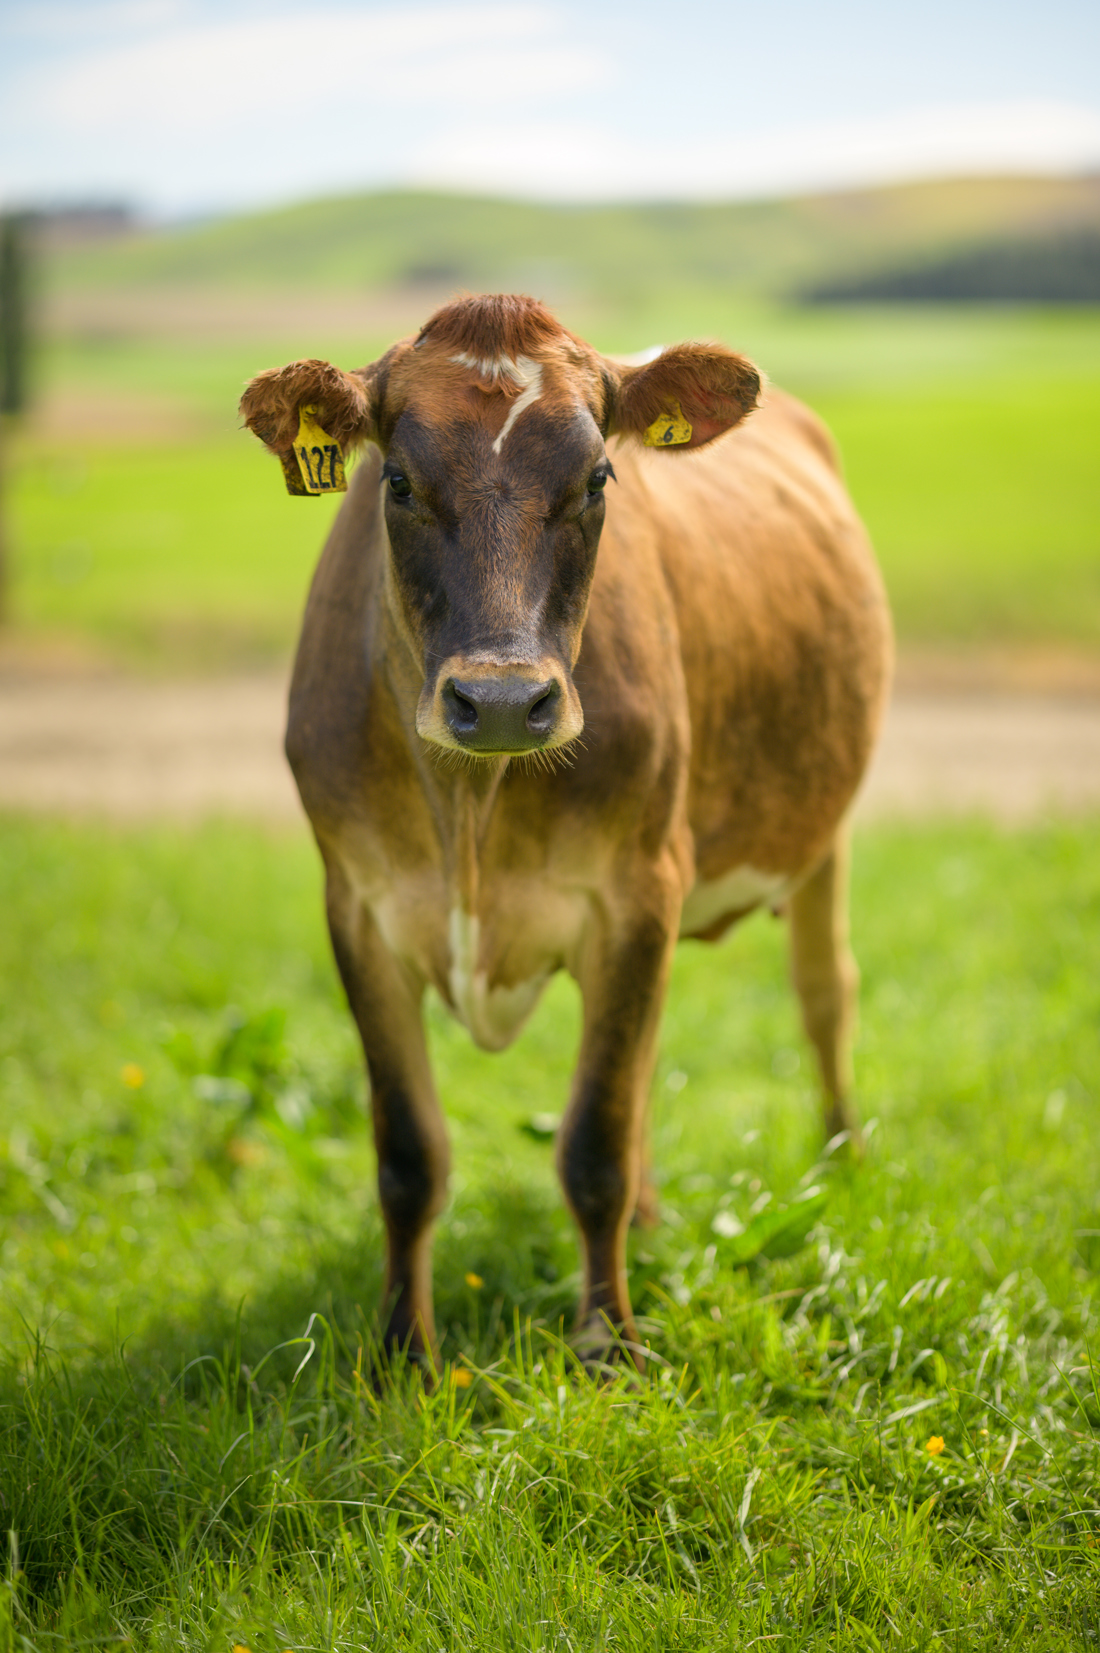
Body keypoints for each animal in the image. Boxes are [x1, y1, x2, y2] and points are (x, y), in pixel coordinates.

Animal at [240, 293, 892, 1370]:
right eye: (397, 480)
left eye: (597, 478)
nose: (503, 701)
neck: (468, 813)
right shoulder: (360, 908)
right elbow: (407, 1155)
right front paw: (402, 1356)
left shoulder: (633, 892)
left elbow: (592, 1144)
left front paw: (608, 1343)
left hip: (819, 828)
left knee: (824, 994)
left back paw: (843, 1165)